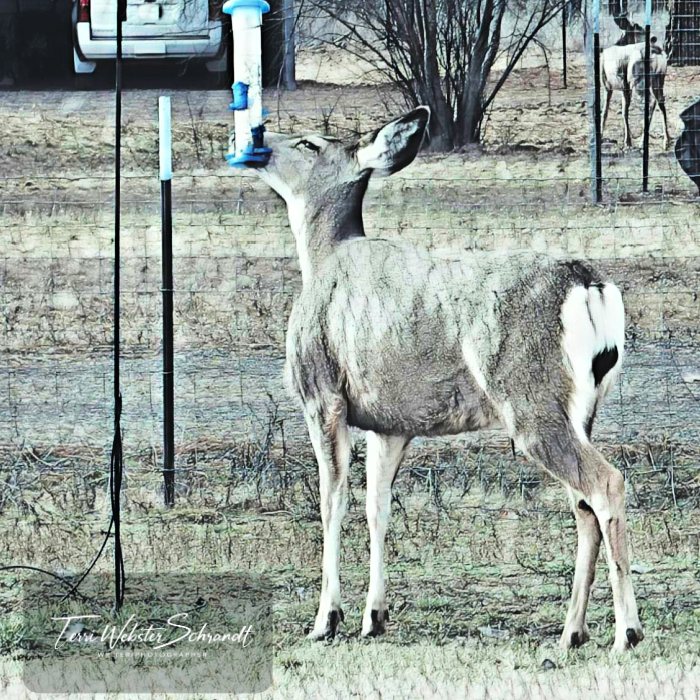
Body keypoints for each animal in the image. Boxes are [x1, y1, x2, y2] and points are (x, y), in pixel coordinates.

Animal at [241, 107, 644, 652]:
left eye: (308, 143)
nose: (256, 136)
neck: (324, 258)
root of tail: (591, 285)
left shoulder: (322, 394)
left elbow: (332, 502)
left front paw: (327, 619)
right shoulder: (390, 422)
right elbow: (378, 507)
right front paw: (374, 616)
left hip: (531, 402)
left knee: (606, 483)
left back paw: (627, 632)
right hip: (579, 410)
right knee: (583, 504)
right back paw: (571, 631)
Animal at [601, 17, 671, 150]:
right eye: (640, 29)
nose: (653, 38)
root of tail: (656, 51)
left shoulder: (608, 85)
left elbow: (607, 111)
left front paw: (626, 141)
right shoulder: (625, 87)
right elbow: (624, 110)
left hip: (638, 81)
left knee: (650, 103)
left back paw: (643, 141)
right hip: (659, 79)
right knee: (660, 102)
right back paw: (666, 141)